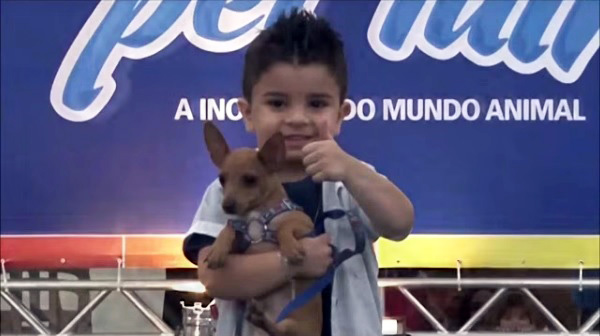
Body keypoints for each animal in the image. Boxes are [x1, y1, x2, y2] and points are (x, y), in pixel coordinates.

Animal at [200, 121, 322, 336]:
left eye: (250, 179)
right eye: (222, 179)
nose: (227, 206)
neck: (257, 215)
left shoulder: (304, 223)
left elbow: (284, 227)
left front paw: (290, 247)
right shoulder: (241, 243)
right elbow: (228, 229)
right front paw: (217, 249)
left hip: (293, 325)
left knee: (280, 330)